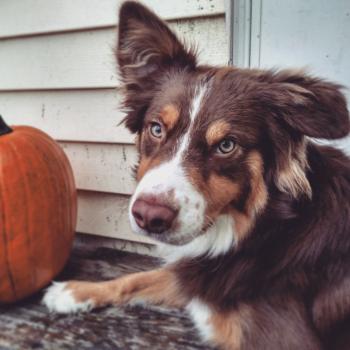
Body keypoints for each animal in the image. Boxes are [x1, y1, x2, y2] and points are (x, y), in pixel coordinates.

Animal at [43, 2, 350, 348]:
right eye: (156, 128)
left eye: (227, 145)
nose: (149, 217)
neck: (264, 230)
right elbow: (145, 276)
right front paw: (75, 291)